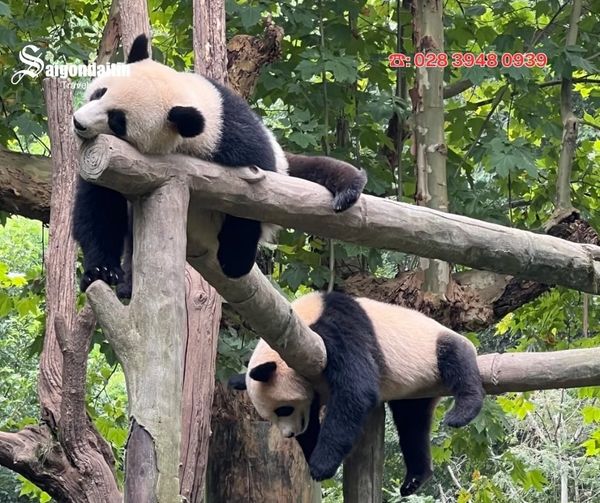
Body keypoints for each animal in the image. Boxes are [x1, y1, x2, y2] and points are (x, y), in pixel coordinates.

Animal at [71, 34, 367, 296]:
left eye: (118, 120)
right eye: (99, 93)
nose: (78, 123)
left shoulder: (238, 140)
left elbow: (255, 199)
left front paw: (235, 258)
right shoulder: (113, 164)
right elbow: (100, 206)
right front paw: (101, 271)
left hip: (286, 166)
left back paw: (348, 186)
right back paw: (128, 286)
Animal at [228, 291, 485, 496]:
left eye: (283, 409)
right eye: (271, 416)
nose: (290, 434)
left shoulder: (339, 328)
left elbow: (356, 389)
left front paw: (321, 465)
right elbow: (312, 421)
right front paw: (312, 454)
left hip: (432, 348)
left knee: (457, 359)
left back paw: (461, 413)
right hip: (414, 392)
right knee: (412, 423)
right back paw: (414, 478)